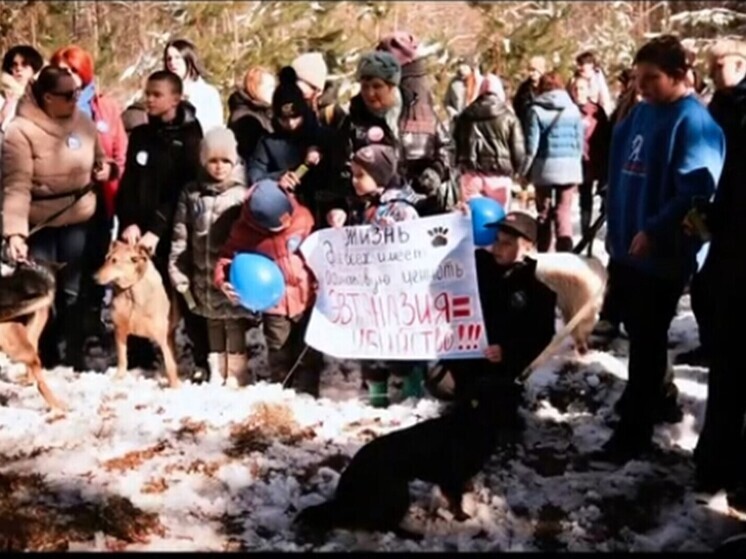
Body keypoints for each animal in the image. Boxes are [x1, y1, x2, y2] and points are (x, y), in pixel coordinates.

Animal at [93, 241, 181, 390]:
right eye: (106, 258)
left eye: (115, 261)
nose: (94, 278)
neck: (131, 291)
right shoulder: (119, 330)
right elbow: (122, 359)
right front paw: (118, 379)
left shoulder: (163, 338)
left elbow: (170, 365)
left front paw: (175, 387)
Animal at [294, 378, 520, 540]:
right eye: (502, 401)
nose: (518, 421)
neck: (473, 424)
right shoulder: (451, 479)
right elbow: (456, 502)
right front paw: (462, 518)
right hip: (397, 491)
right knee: (382, 525)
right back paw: (412, 535)